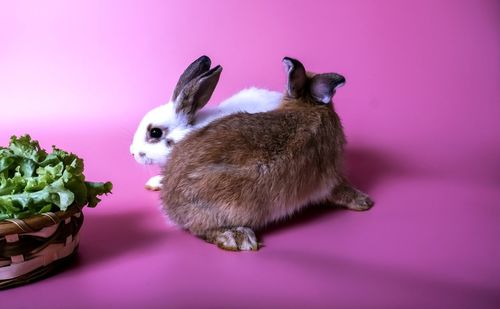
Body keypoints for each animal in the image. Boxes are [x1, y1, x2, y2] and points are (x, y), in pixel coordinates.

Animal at [161, 57, 376, 250]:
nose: (368, 203)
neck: (307, 106)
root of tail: (169, 204)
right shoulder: (332, 176)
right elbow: (340, 190)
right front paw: (364, 202)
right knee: (200, 230)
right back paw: (237, 237)